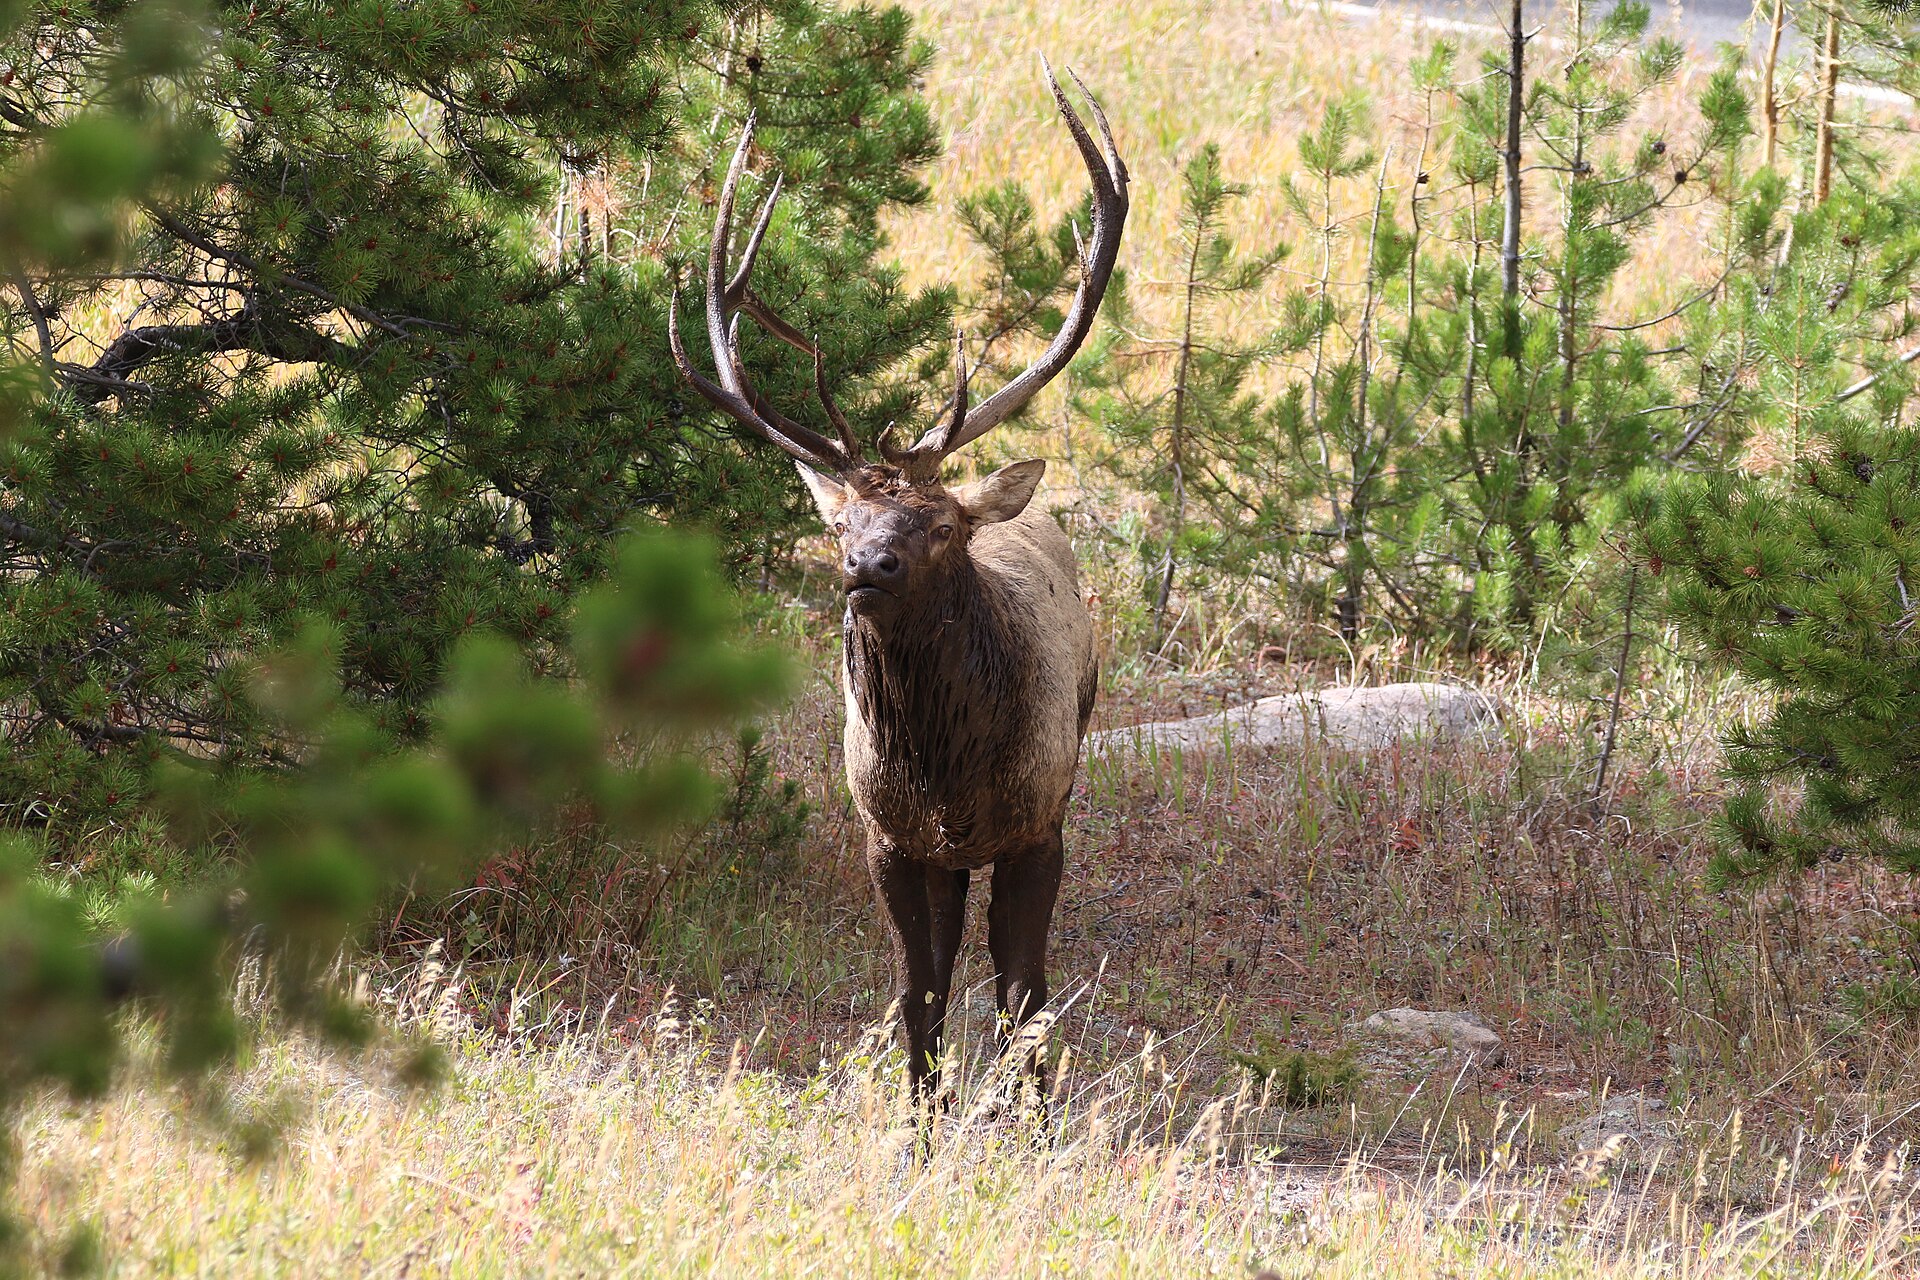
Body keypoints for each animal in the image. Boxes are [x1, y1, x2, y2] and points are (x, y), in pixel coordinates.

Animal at [669, 64, 1128, 1116]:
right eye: (839, 526)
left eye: (942, 526)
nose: (865, 568)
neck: (947, 777)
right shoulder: (887, 834)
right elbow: (917, 988)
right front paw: (920, 1123)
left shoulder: (1040, 822)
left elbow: (1027, 991)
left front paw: (1033, 1122)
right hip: (936, 856)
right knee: (949, 958)